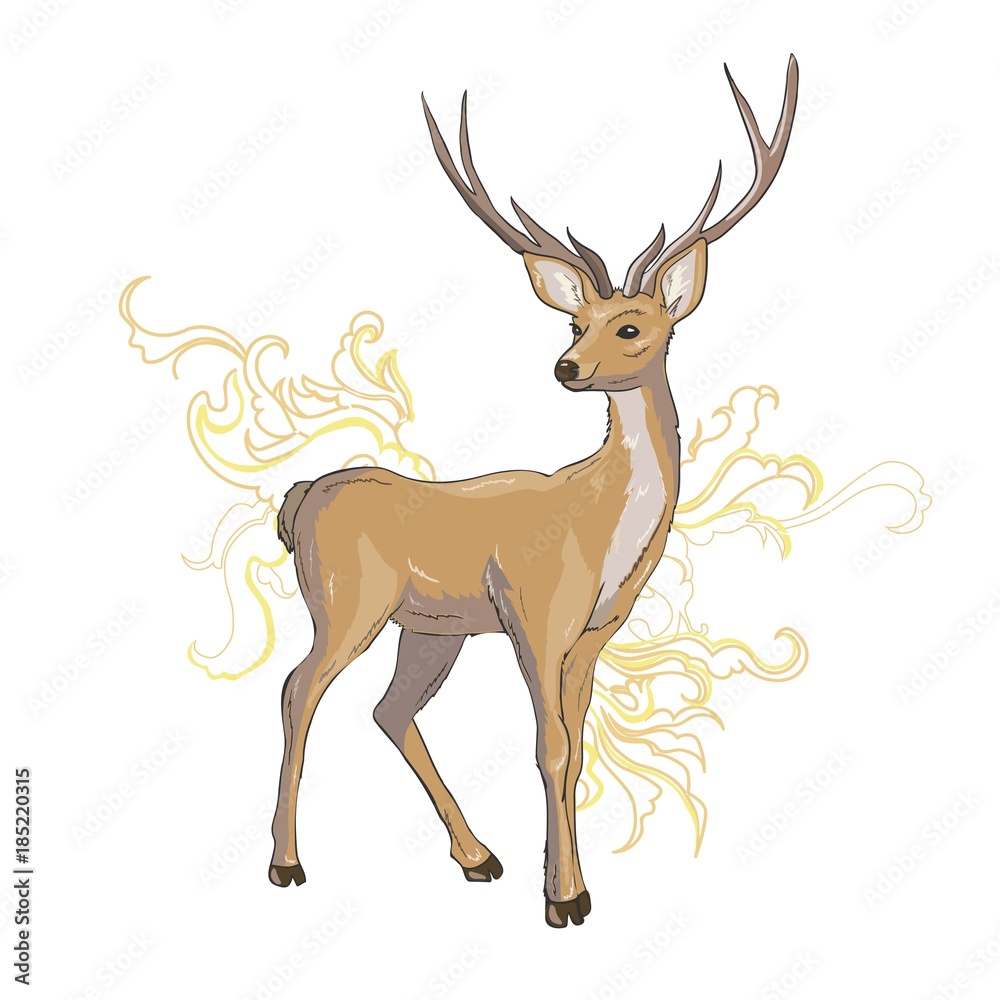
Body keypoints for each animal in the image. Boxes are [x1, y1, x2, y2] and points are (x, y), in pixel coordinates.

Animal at [268, 55, 799, 927]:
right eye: (574, 324)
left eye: (628, 326)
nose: (566, 368)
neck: (600, 526)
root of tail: (300, 495)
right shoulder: (534, 610)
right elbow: (548, 746)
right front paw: (565, 900)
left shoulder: (592, 633)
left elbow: (575, 750)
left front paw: (569, 884)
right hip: (349, 600)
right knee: (296, 689)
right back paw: (286, 864)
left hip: (431, 626)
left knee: (388, 709)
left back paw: (479, 858)